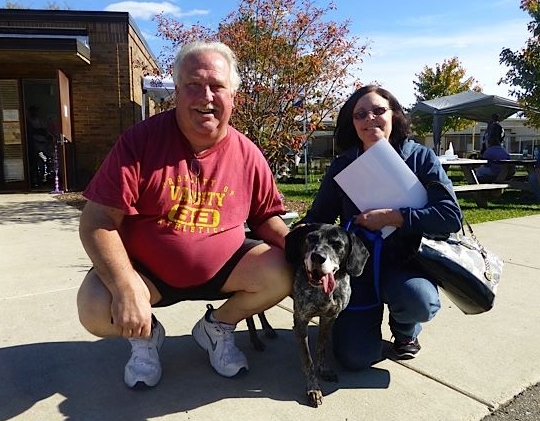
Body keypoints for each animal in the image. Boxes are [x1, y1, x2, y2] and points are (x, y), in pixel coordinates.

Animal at [284, 223, 370, 406]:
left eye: (337, 244)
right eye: (311, 238)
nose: (317, 257)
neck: (323, 292)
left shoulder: (329, 318)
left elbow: (321, 346)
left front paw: (323, 369)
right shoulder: (301, 321)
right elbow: (307, 360)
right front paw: (313, 389)